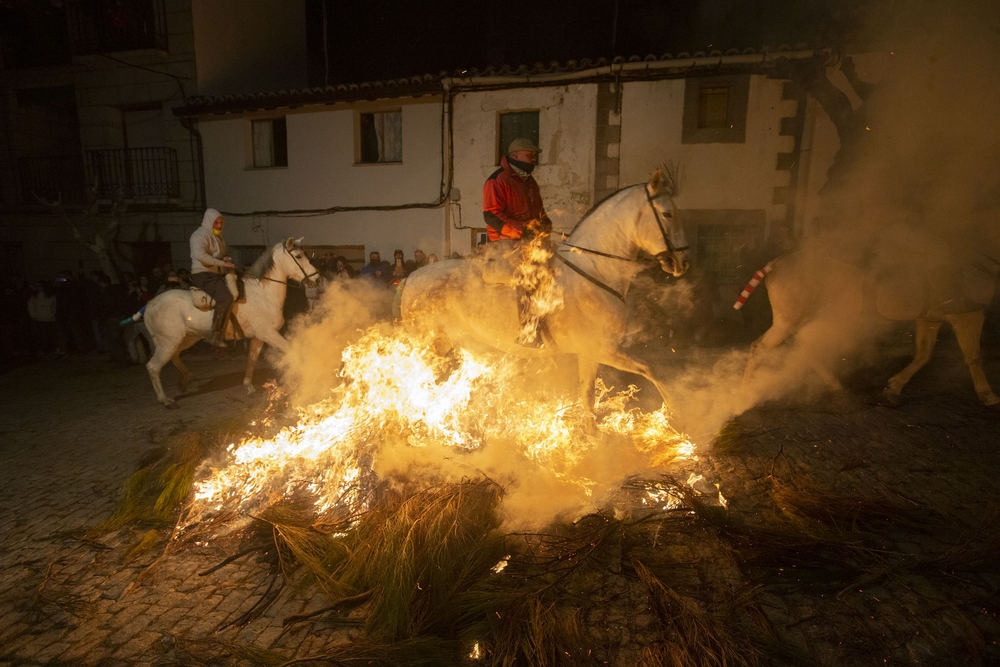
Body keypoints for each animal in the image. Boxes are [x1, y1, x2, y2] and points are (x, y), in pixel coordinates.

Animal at [141, 237, 318, 410]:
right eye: (298, 256)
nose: (317, 279)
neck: (262, 294)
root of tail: (149, 305)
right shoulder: (269, 334)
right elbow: (291, 350)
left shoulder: (259, 337)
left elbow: (252, 359)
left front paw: (249, 387)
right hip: (168, 342)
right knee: (153, 367)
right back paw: (166, 400)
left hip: (185, 339)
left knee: (174, 356)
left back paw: (185, 380)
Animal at [398, 168, 688, 412]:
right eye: (667, 213)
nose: (683, 261)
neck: (593, 270)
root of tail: (412, 277)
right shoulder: (603, 349)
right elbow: (651, 370)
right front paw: (677, 414)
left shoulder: (590, 354)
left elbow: (588, 400)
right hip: (428, 344)